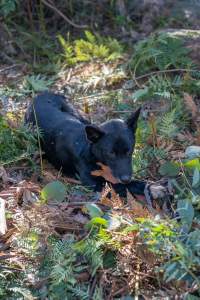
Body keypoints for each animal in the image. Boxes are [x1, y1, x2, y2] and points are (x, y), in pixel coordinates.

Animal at [25, 92, 171, 203]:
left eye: (129, 150)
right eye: (111, 153)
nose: (126, 178)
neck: (88, 150)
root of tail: (42, 93)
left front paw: (150, 186)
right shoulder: (96, 185)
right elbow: (120, 186)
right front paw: (152, 189)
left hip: (78, 113)